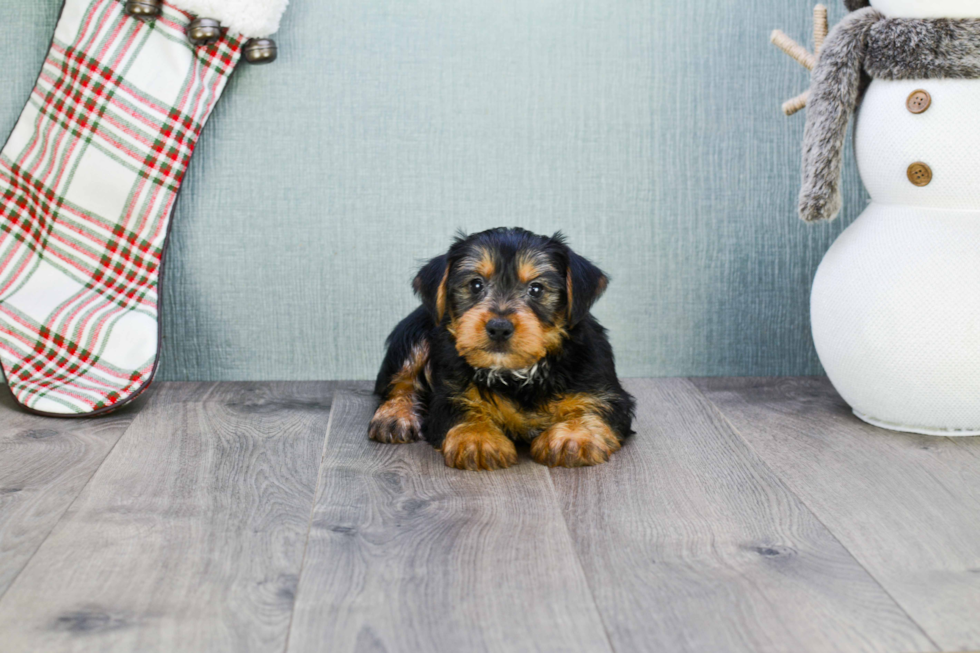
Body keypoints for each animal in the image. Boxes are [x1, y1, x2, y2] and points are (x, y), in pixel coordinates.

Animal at [368, 228, 636, 468]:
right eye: (475, 285)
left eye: (536, 289)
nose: (499, 328)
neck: (518, 373)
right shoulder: (449, 394)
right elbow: (461, 410)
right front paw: (476, 439)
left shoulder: (603, 389)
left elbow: (595, 407)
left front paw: (570, 437)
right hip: (415, 330)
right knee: (400, 381)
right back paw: (394, 416)